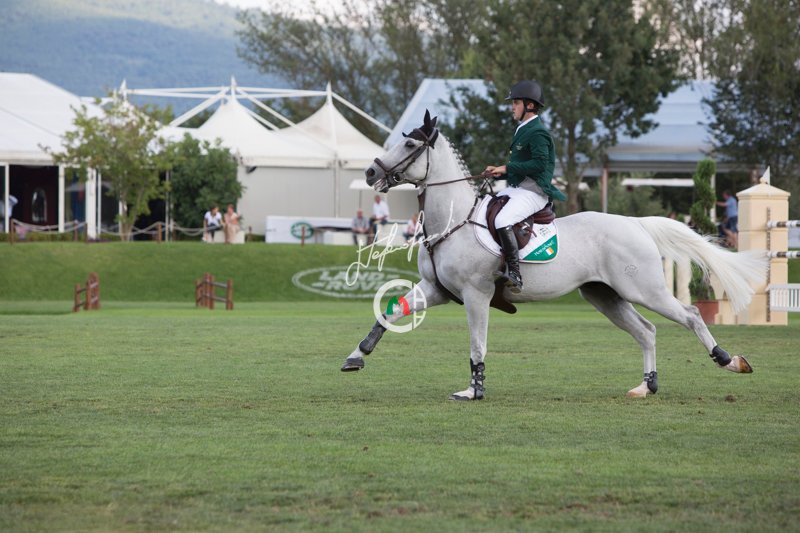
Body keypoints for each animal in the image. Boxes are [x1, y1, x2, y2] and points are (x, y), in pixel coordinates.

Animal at [341, 111, 767, 401]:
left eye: (411, 145)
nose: (369, 173)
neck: (453, 219)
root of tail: (635, 223)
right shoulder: (436, 289)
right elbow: (390, 311)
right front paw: (356, 357)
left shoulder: (476, 295)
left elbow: (477, 344)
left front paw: (473, 391)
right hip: (604, 295)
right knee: (646, 331)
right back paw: (646, 387)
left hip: (644, 288)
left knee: (690, 315)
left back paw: (729, 360)